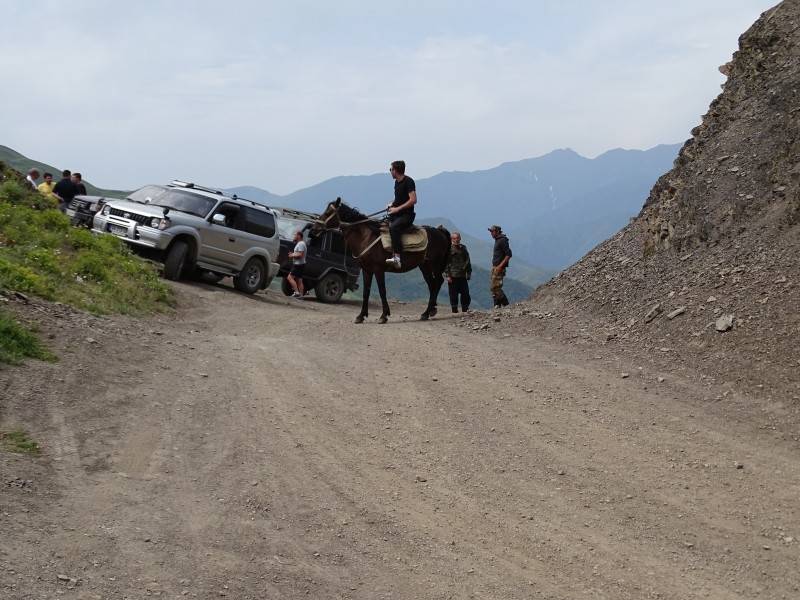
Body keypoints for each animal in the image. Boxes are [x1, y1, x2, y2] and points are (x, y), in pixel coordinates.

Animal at [312, 199, 450, 324]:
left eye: (328, 212)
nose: (314, 229)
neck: (366, 237)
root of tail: (440, 231)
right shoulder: (367, 270)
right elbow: (366, 292)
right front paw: (361, 316)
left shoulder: (378, 270)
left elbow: (382, 291)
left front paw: (384, 316)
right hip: (424, 266)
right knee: (432, 284)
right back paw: (428, 312)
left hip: (435, 264)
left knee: (438, 282)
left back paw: (427, 312)